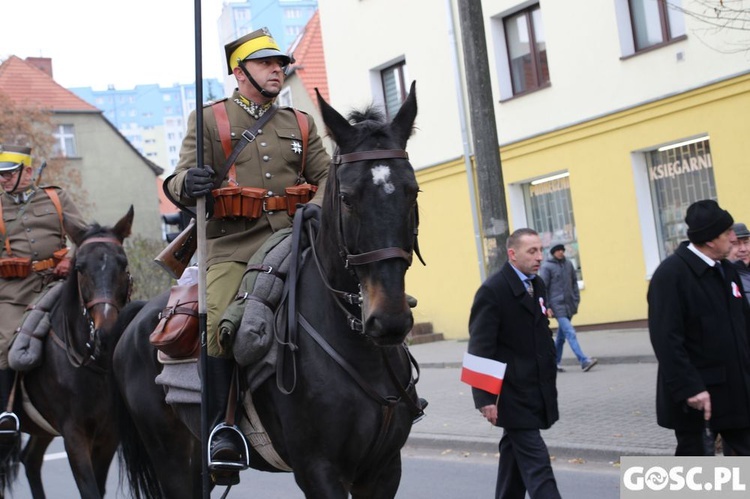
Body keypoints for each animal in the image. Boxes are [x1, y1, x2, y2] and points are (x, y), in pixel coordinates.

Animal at [1, 205, 135, 498]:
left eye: (123, 263)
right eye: (80, 268)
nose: (107, 333)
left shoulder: (109, 436)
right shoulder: (75, 437)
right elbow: (90, 490)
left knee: (31, 460)